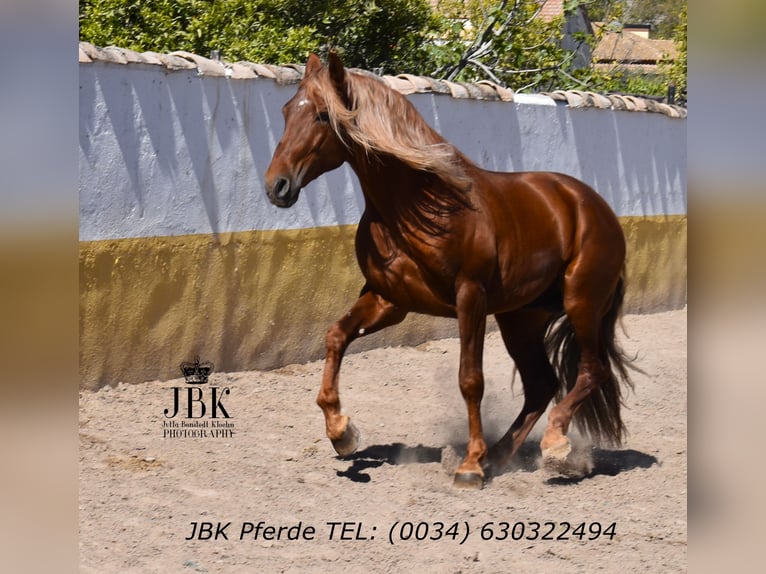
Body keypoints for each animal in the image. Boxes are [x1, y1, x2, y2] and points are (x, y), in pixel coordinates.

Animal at [264, 53, 633, 489]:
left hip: (581, 304)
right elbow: (336, 336)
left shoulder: (469, 297)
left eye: (323, 115)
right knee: (542, 384)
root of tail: (594, 206)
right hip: (521, 317)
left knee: (591, 371)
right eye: (287, 111)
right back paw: (500, 456)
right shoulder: (388, 300)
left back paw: (552, 445)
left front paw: (469, 466)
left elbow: (470, 379)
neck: (419, 208)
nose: (276, 186)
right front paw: (342, 432)